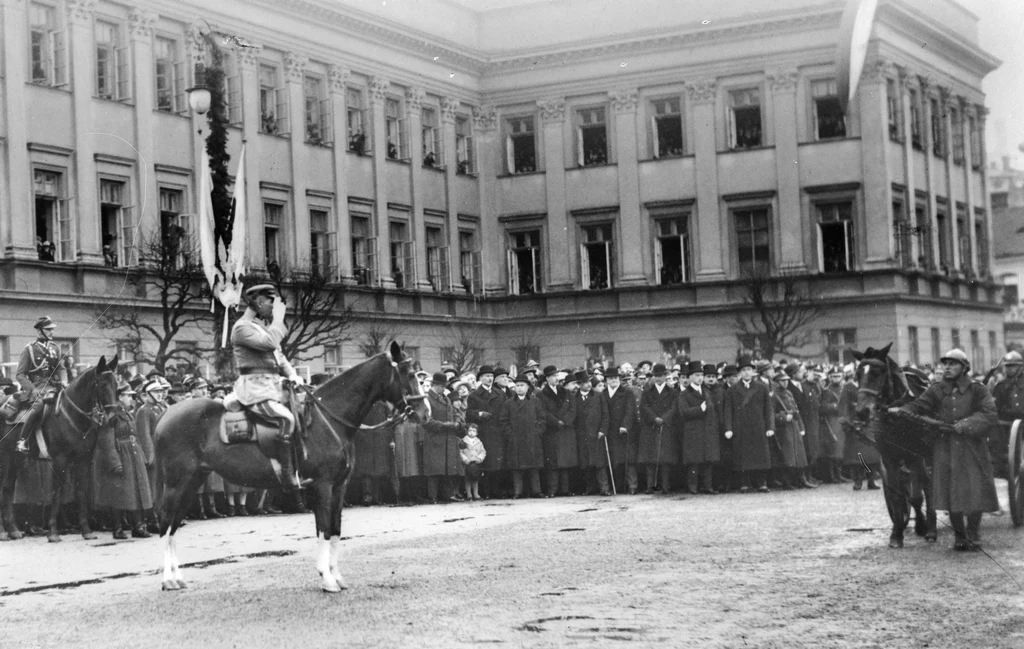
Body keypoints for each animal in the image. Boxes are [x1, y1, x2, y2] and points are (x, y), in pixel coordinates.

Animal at [0, 354, 119, 540]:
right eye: (102, 384)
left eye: (116, 385)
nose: (114, 418)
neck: (73, 414)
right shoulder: (60, 459)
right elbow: (57, 493)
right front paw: (53, 532)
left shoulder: (84, 459)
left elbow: (81, 492)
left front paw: (86, 531)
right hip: (6, 457)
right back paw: (6, 532)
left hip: (16, 458)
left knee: (7, 488)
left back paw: (12, 530)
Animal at [152, 343, 428, 589]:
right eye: (408, 373)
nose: (425, 412)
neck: (328, 419)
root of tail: (166, 413)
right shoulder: (322, 486)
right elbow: (323, 529)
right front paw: (327, 579)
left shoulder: (339, 486)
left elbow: (335, 529)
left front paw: (336, 576)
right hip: (176, 482)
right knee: (165, 523)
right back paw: (167, 580)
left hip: (193, 482)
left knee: (174, 524)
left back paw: (178, 577)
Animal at [847, 343, 937, 544]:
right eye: (858, 374)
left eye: (877, 372)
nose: (862, 411)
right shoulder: (889, 458)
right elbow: (897, 496)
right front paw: (896, 534)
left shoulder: (915, 456)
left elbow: (917, 496)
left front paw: (922, 526)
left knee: (929, 486)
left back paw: (931, 528)